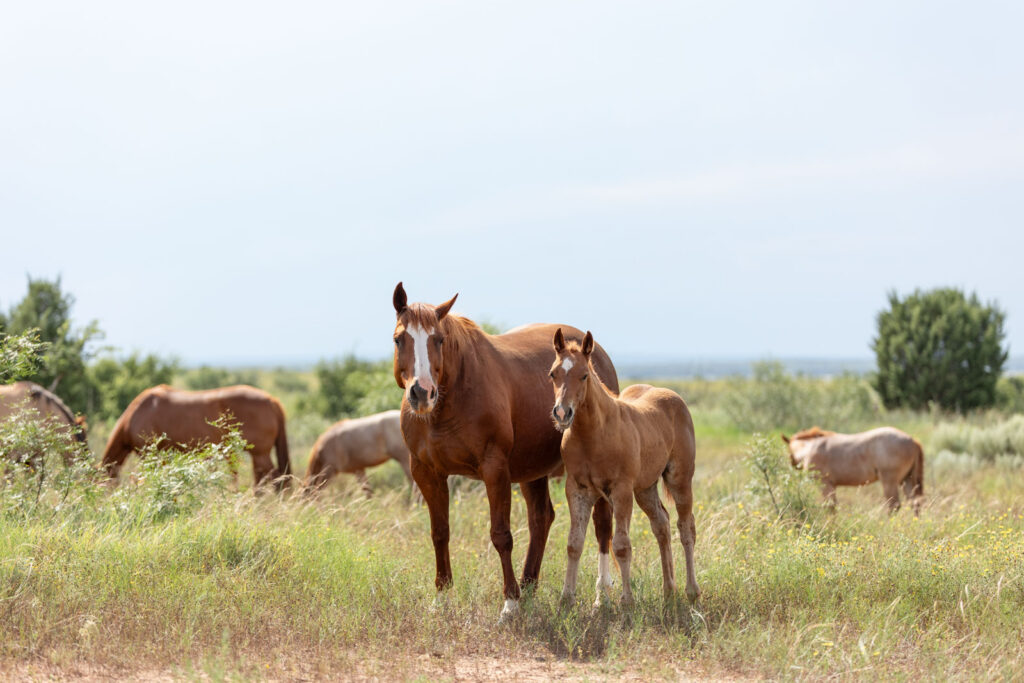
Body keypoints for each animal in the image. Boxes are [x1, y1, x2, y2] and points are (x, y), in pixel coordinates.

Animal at [101, 384, 291, 489]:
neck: (136, 415)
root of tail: (271, 400)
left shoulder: (150, 455)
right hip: (258, 456)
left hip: (260, 454)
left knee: (277, 480)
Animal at [391, 283, 620, 623]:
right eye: (399, 339)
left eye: (439, 339)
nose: (422, 392)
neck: (451, 399)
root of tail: (595, 352)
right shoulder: (427, 472)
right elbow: (439, 532)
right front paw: (441, 599)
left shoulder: (494, 469)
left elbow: (501, 535)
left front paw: (509, 605)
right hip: (532, 470)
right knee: (541, 518)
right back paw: (529, 587)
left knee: (602, 523)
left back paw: (599, 596)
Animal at [550, 329, 700, 606]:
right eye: (553, 373)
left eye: (584, 375)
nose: (562, 414)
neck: (594, 434)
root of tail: (673, 396)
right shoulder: (577, 489)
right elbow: (574, 543)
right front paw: (566, 599)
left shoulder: (620, 490)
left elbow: (621, 545)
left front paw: (627, 601)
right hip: (645, 488)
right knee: (661, 524)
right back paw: (668, 590)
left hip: (679, 479)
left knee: (686, 527)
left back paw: (691, 591)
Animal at [781, 426, 924, 515]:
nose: (793, 464)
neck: (810, 448)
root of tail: (912, 441)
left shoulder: (825, 484)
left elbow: (830, 507)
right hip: (907, 480)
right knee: (915, 503)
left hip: (889, 481)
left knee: (894, 506)